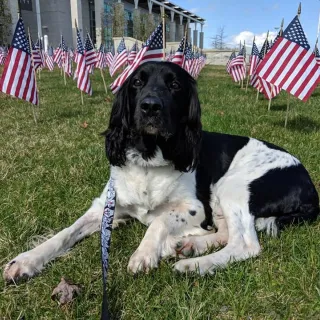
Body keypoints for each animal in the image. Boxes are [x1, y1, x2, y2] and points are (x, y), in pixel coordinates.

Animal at [3, 60, 320, 280]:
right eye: (136, 83)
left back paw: (193, 264)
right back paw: (190, 245)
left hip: (232, 185)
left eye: (174, 85)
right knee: (227, 232)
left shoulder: (195, 208)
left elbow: (158, 220)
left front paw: (145, 253)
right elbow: (64, 234)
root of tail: (310, 187)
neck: (148, 157)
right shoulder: (103, 207)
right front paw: (27, 260)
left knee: (245, 244)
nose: (150, 106)